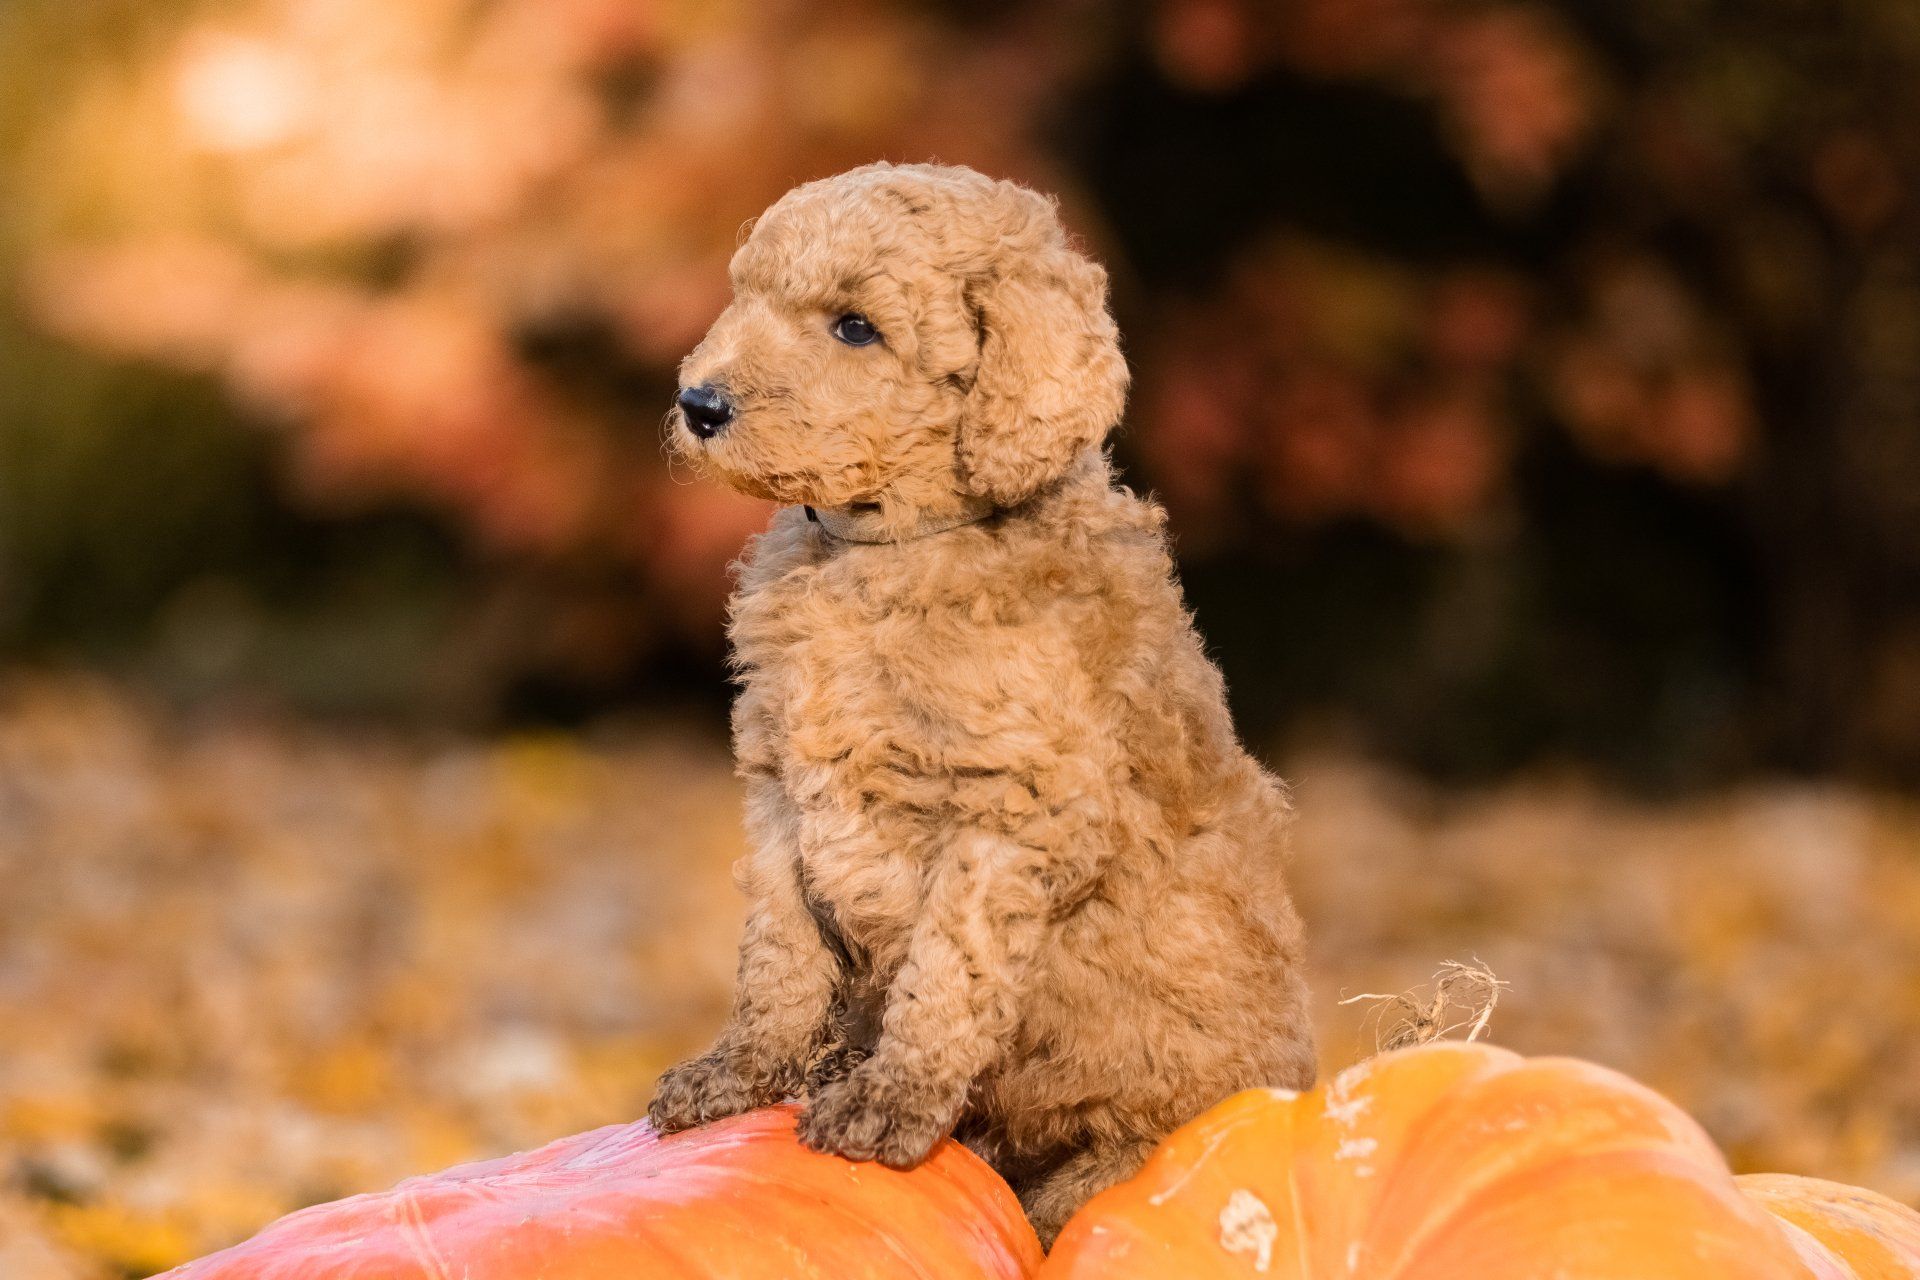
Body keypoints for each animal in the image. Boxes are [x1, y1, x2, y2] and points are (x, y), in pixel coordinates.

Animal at [652, 160, 1313, 1243]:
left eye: (855, 327)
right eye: (746, 294)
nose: (697, 402)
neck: (880, 550)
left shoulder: (1010, 811)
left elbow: (944, 974)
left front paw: (888, 1104)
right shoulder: (782, 792)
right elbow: (778, 952)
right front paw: (740, 1073)